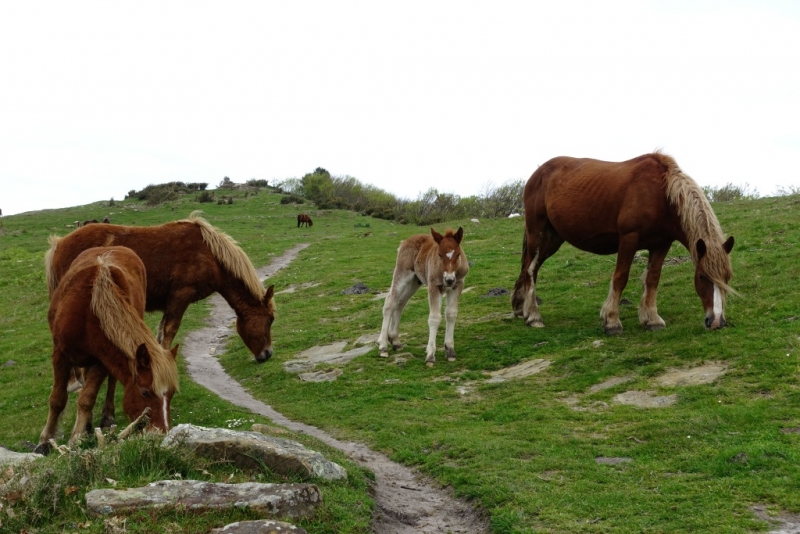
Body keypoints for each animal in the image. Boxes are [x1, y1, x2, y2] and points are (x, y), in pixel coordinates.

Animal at [35, 248, 178, 456]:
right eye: (145, 393)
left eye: (172, 393)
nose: (161, 434)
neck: (88, 312)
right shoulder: (60, 355)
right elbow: (57, 399)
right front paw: (45, 441)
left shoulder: (102, 361)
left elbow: (87, 399)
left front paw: (76, 439)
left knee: (111, 381)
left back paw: (106, 416)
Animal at [376, 226, 466, 368]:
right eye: (439, 255)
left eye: (458, 255)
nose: (449, 280)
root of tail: (404, 242)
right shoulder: (434, 286)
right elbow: (434, 318)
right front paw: (430, 356)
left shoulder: (457, 286)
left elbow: (451, 314)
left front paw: (450, 351)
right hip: (402, 274)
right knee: (390, 302)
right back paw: (383, 347)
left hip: (414, 282)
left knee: (400, 303)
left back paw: (395, 341)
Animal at [512, 152, 736, 336]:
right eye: (702, 276)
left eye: (727, 277)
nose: (716, 321)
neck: (660, 194)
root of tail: (537, 173)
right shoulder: (629, 239)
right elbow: (620, 278)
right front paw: (611, 321)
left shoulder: (661, 244)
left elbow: (653, 279)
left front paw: (652, 320)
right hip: (537, 233)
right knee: (530, 270)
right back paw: (534, 317)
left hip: (553, 239)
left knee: (531, 270)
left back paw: (522, 309)